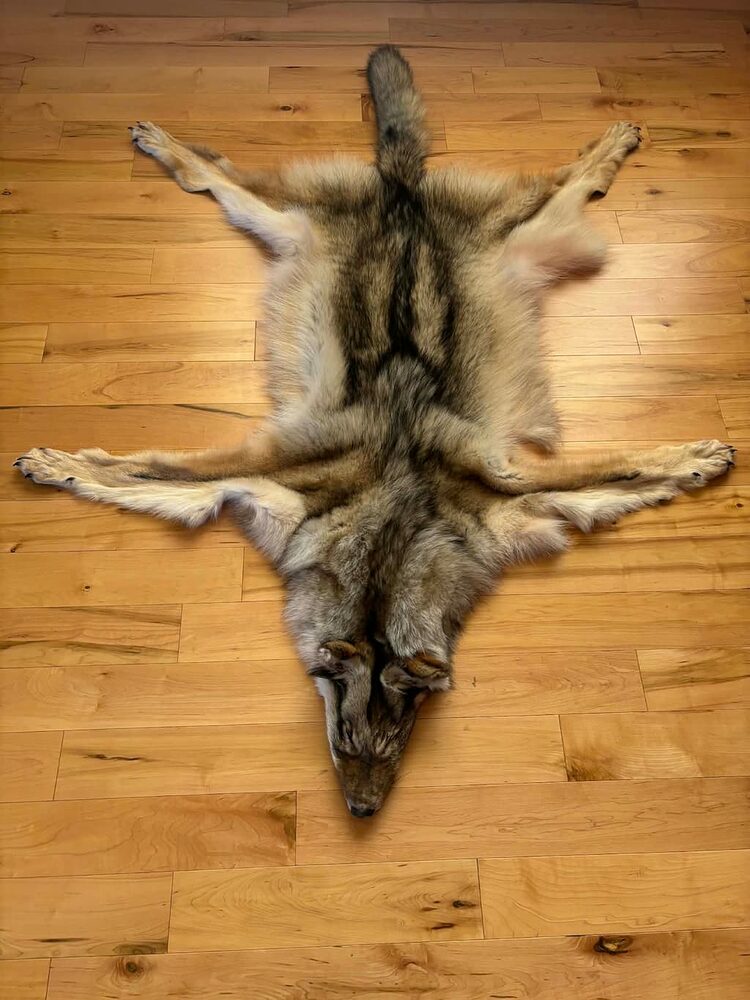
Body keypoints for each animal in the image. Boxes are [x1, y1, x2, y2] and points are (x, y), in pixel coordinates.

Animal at [15, 46, 735, 816]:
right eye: (344, 736)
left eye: (396, 742)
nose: (362, 812)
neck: (389, 536)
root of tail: (402, 190)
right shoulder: (270, 473)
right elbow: (135, 469)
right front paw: (57, 463)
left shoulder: (502, 489)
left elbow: (629, 465)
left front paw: (696, 456)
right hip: (284, 217)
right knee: (215, 171)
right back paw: (165, 142)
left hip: (526, 234)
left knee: (572, 178)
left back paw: (613, 142)